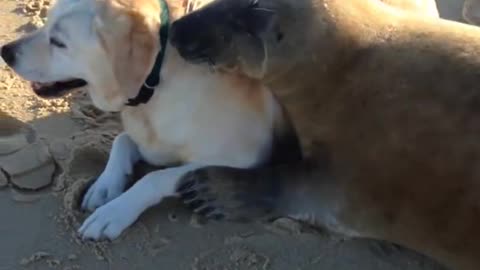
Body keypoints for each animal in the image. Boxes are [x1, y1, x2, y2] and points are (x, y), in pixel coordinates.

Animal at [0, 0, 300, 240]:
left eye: (59, 42)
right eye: (46, 21)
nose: (6, 51)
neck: (158, 82)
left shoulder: (247, 157)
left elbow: (155, 177)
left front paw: (113, 212)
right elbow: (122, 140)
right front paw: (105, 186)